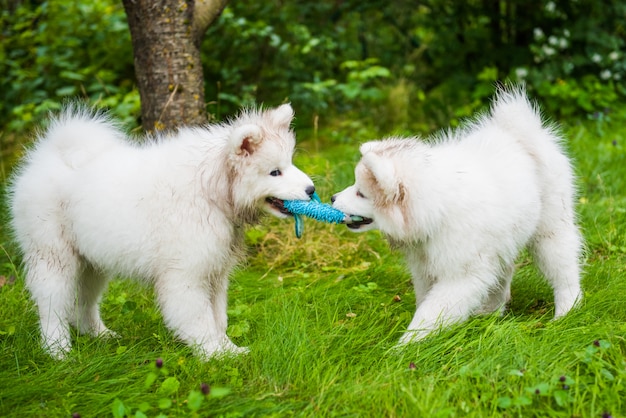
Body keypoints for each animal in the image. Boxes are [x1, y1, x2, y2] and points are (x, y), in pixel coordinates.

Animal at [7, 103, 314, 360]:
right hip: (53, 253)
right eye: (275, 172)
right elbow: (200, 318)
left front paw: (230, 349)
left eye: (290, 163)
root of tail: (50, 153)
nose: (311, 190)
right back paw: (57, 350)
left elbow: (219, 317)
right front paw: (214, 354)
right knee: (52, 304)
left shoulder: (215, 271)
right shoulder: (186, 273)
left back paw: (99, 334)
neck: (211, 189)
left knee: (84, 302)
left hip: (92, 261)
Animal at [334, 86, 584, 344]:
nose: (332, 198)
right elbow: (426, 300)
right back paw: (489, 313)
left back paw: (566, 311)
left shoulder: (461, 272)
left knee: (563, 268)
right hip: (503, 242)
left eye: (361, 193)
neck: (437, 209)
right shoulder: (425, 265)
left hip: (550, 228)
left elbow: (433, 310)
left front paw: (407, 345)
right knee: (501, 275)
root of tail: (518, 133)